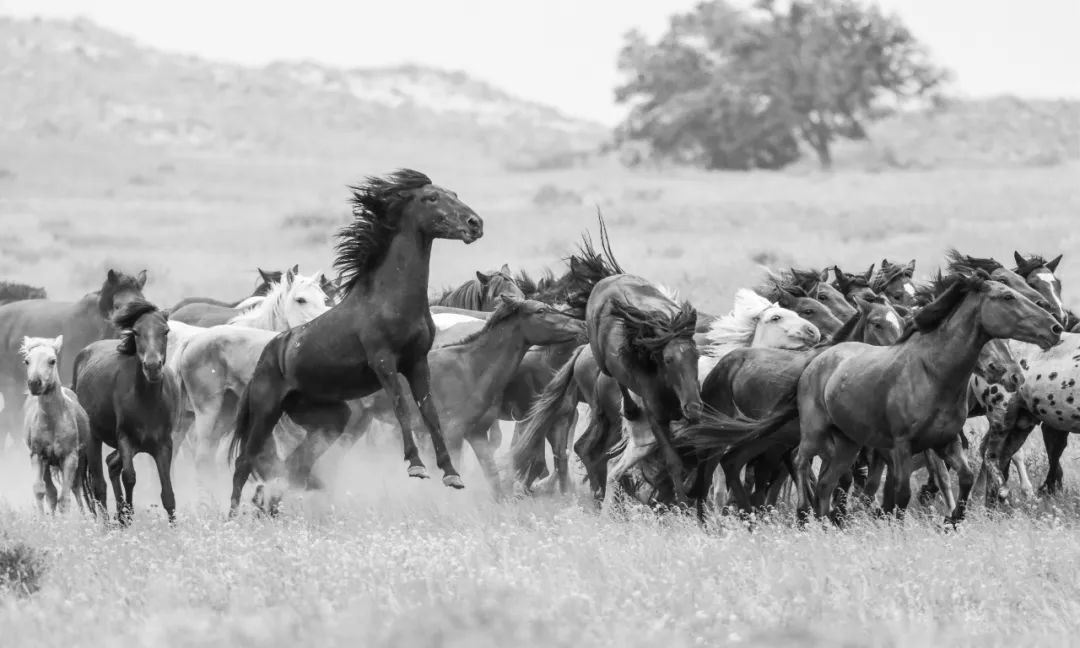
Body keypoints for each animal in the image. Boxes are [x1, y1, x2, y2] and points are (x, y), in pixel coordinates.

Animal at [21, 336, 90, 514]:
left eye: (52, 361)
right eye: (27, 361)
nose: (34, 383)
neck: (52, 422)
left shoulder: (70, 457)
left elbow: (65, 498)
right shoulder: (37, 455)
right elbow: (41, 491)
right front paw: (44, 520)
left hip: (78, 461)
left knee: (76, 488)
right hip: (47, 463)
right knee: (51, 493)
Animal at [72, 300, 177, 524]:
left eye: (165, 331)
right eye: (136, 332)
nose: (152, 366)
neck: (147, 402)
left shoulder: (163, 444)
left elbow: (167, 491)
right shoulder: (125, 439)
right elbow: (129, 477)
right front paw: (126, 515)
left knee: (111, 464)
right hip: (93, 438)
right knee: (99, 485)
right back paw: (107, 524)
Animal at [226, 169, 481, 514]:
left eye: (453, 193)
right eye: (431, 198)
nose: (475, 223)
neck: (391, 299)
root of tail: (265, 359)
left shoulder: (417, 363)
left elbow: (430, 413)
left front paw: (451, 473)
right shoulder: (383, 361)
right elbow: (402, 407)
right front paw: (416, 465)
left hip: (331, 416)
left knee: (296, 462)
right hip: (266, 412)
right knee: (244, 462)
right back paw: (233, 516)